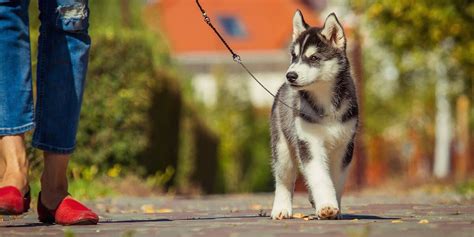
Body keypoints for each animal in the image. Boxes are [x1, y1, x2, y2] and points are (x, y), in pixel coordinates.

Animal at [272, 10, 358, 218]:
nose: (290, 75)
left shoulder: (344, 147)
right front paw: (326, 206)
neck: (325, 102)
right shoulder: (309, 143)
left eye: (313, 58)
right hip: (283, 147)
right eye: (294, 56)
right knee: (284, 179)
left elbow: (336, 181)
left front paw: (334, 208)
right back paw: (281, 209)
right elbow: (319, 176)